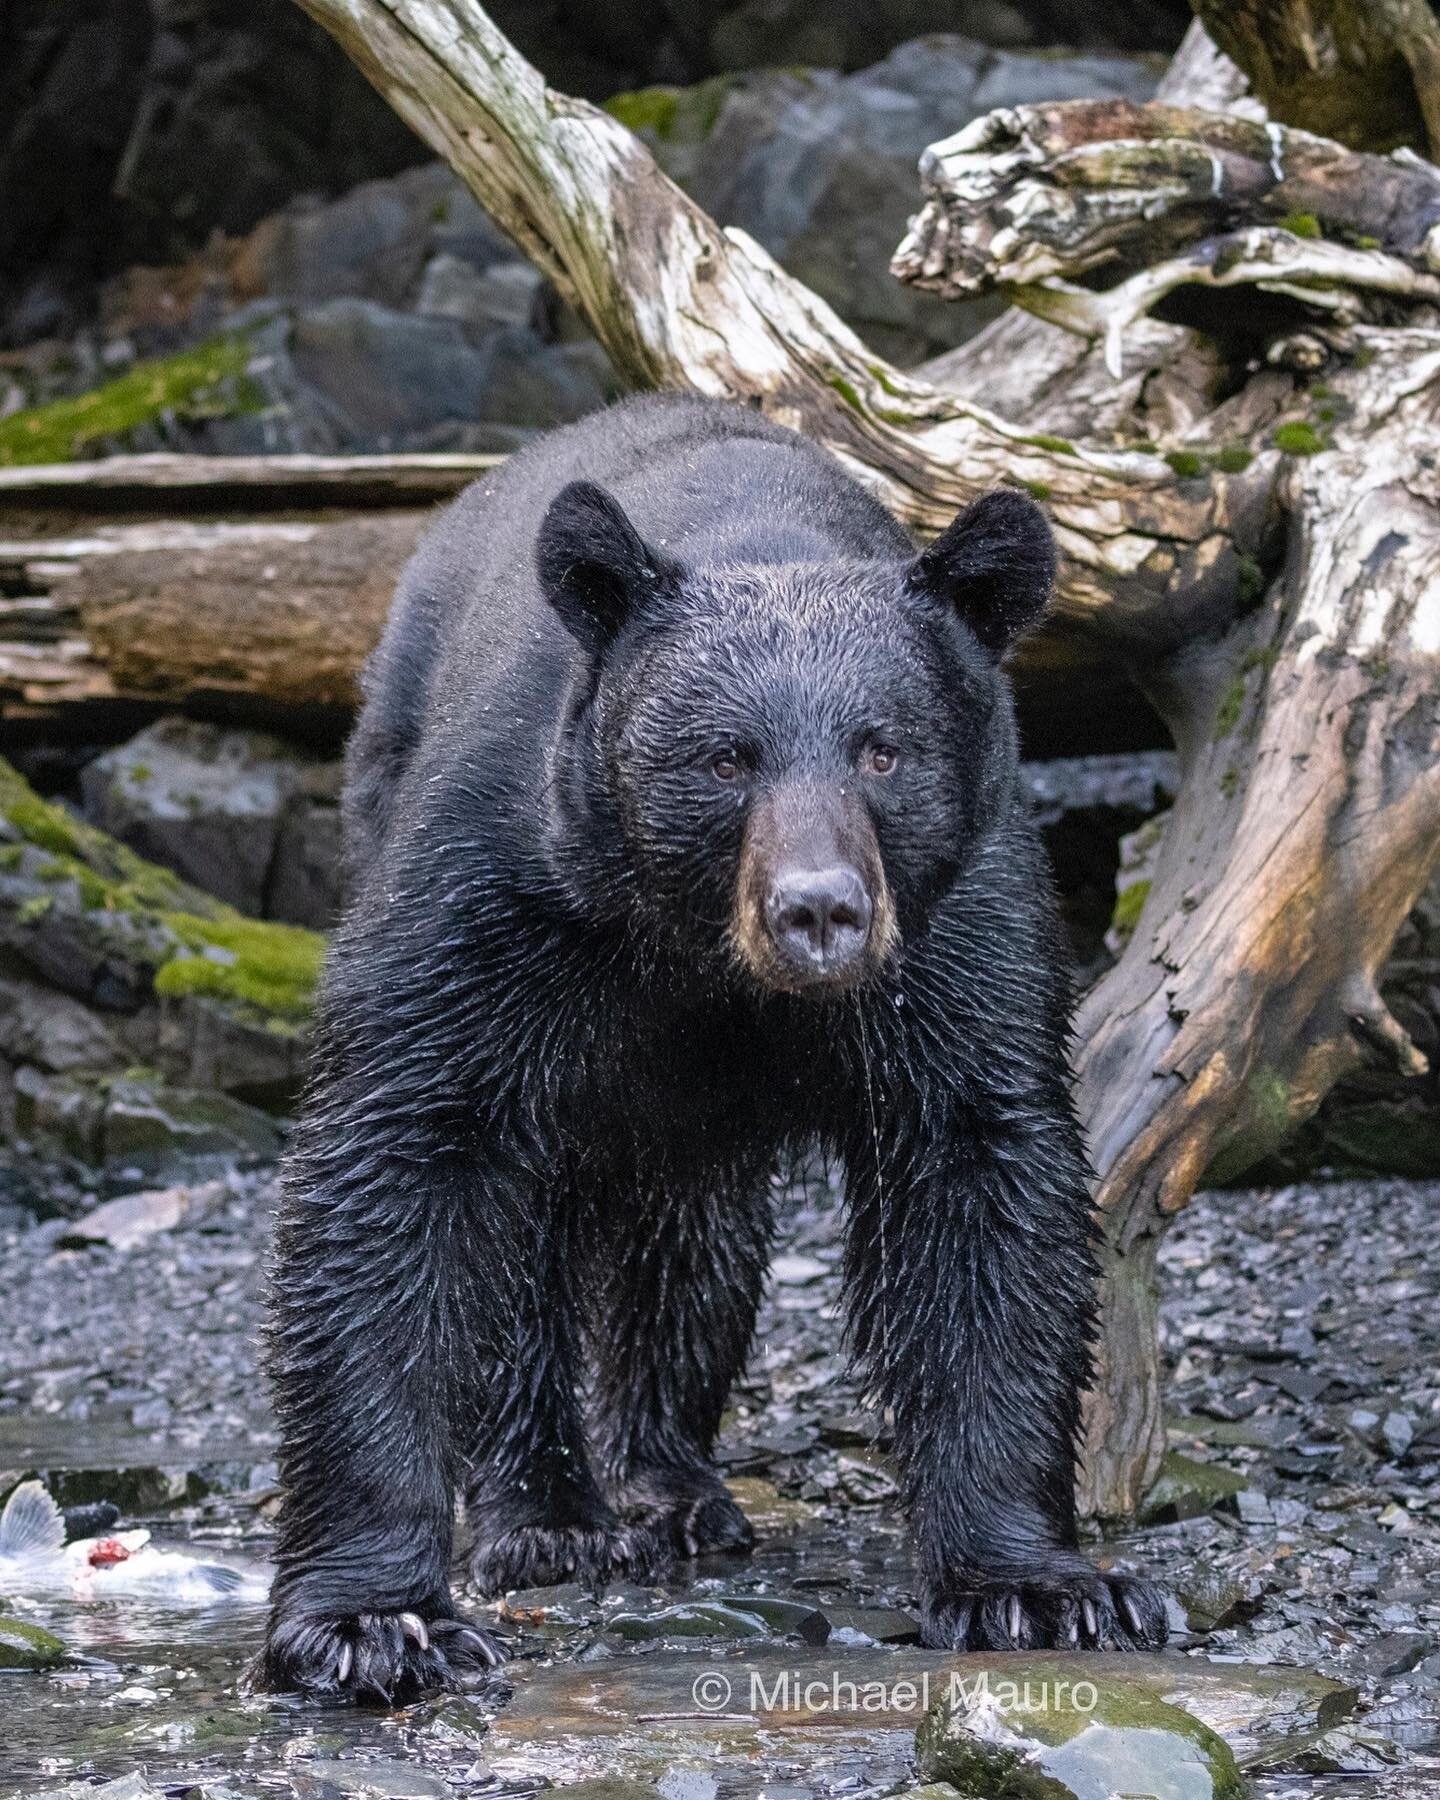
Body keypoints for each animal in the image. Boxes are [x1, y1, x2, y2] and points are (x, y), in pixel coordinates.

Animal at [259, 394, 1166, 1699]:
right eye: (726, 756)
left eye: (882, 748)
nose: (820, 911)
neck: (704, 959)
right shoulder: (496, 892)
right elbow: (401, 1160)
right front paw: (372, 1622)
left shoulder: (961, 924)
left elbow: (982, 1182)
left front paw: (1036, 1587)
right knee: (532, 1247)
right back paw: (549, 1513)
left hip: (694, 1126)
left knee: (693, 1248)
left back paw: (674, 1483)